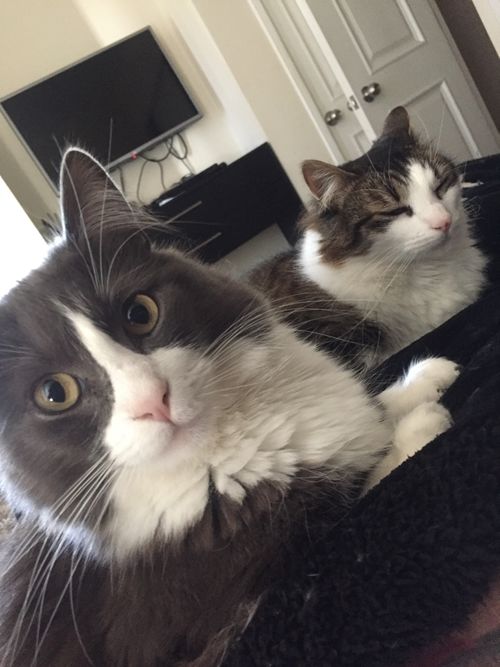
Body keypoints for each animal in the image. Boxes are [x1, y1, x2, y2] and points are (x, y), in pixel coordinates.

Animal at [0, 148, 458, 666]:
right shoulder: (248, 615)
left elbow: (369, 410)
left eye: (140, 313)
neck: (235, 434)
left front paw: (420, 381)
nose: (152, 399)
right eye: (54, 394)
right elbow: (361, 494)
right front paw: (415, 429)